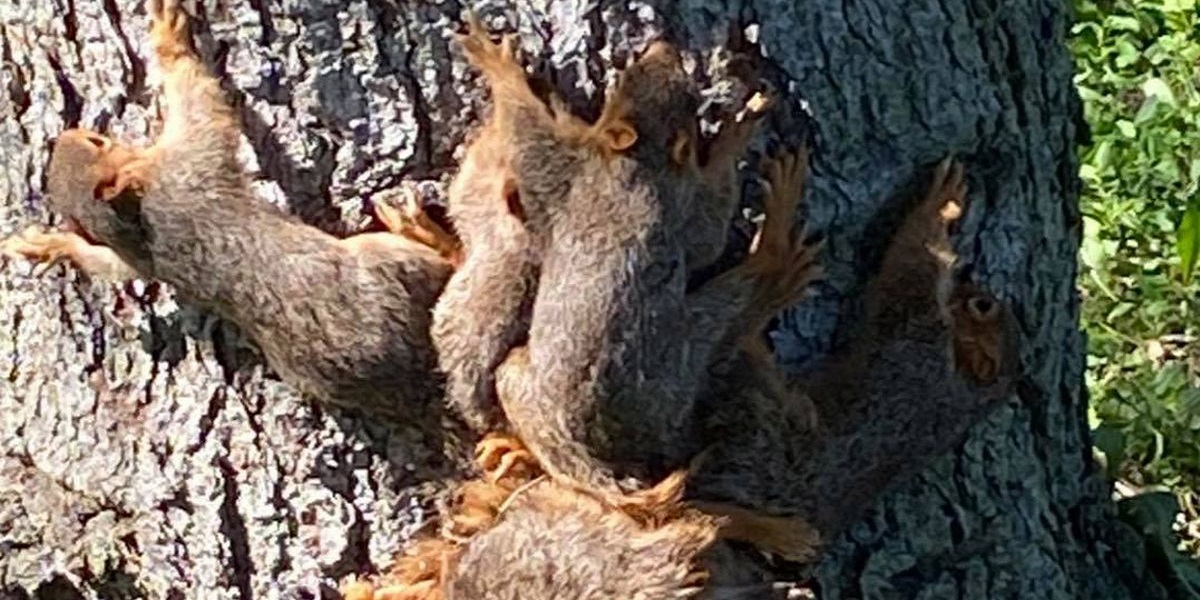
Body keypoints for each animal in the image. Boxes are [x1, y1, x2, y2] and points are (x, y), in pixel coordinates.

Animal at [1, 0, 458, 424]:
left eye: (94, 142)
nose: (65, 134)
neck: (135, 209)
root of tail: (410, 385)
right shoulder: (192, 161)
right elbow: (200, 99)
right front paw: (169, 37)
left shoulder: (142, 245)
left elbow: (108, 264)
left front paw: (55, 244)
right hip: (389, 266)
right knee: (444, 266)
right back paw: (424, 230)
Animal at [441, 14, 787, 501]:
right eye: (632, 77)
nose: (664, 46)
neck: (639, 168)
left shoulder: (569, 176)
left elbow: (529, 133)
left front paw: (497, 64)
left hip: (531, 384)